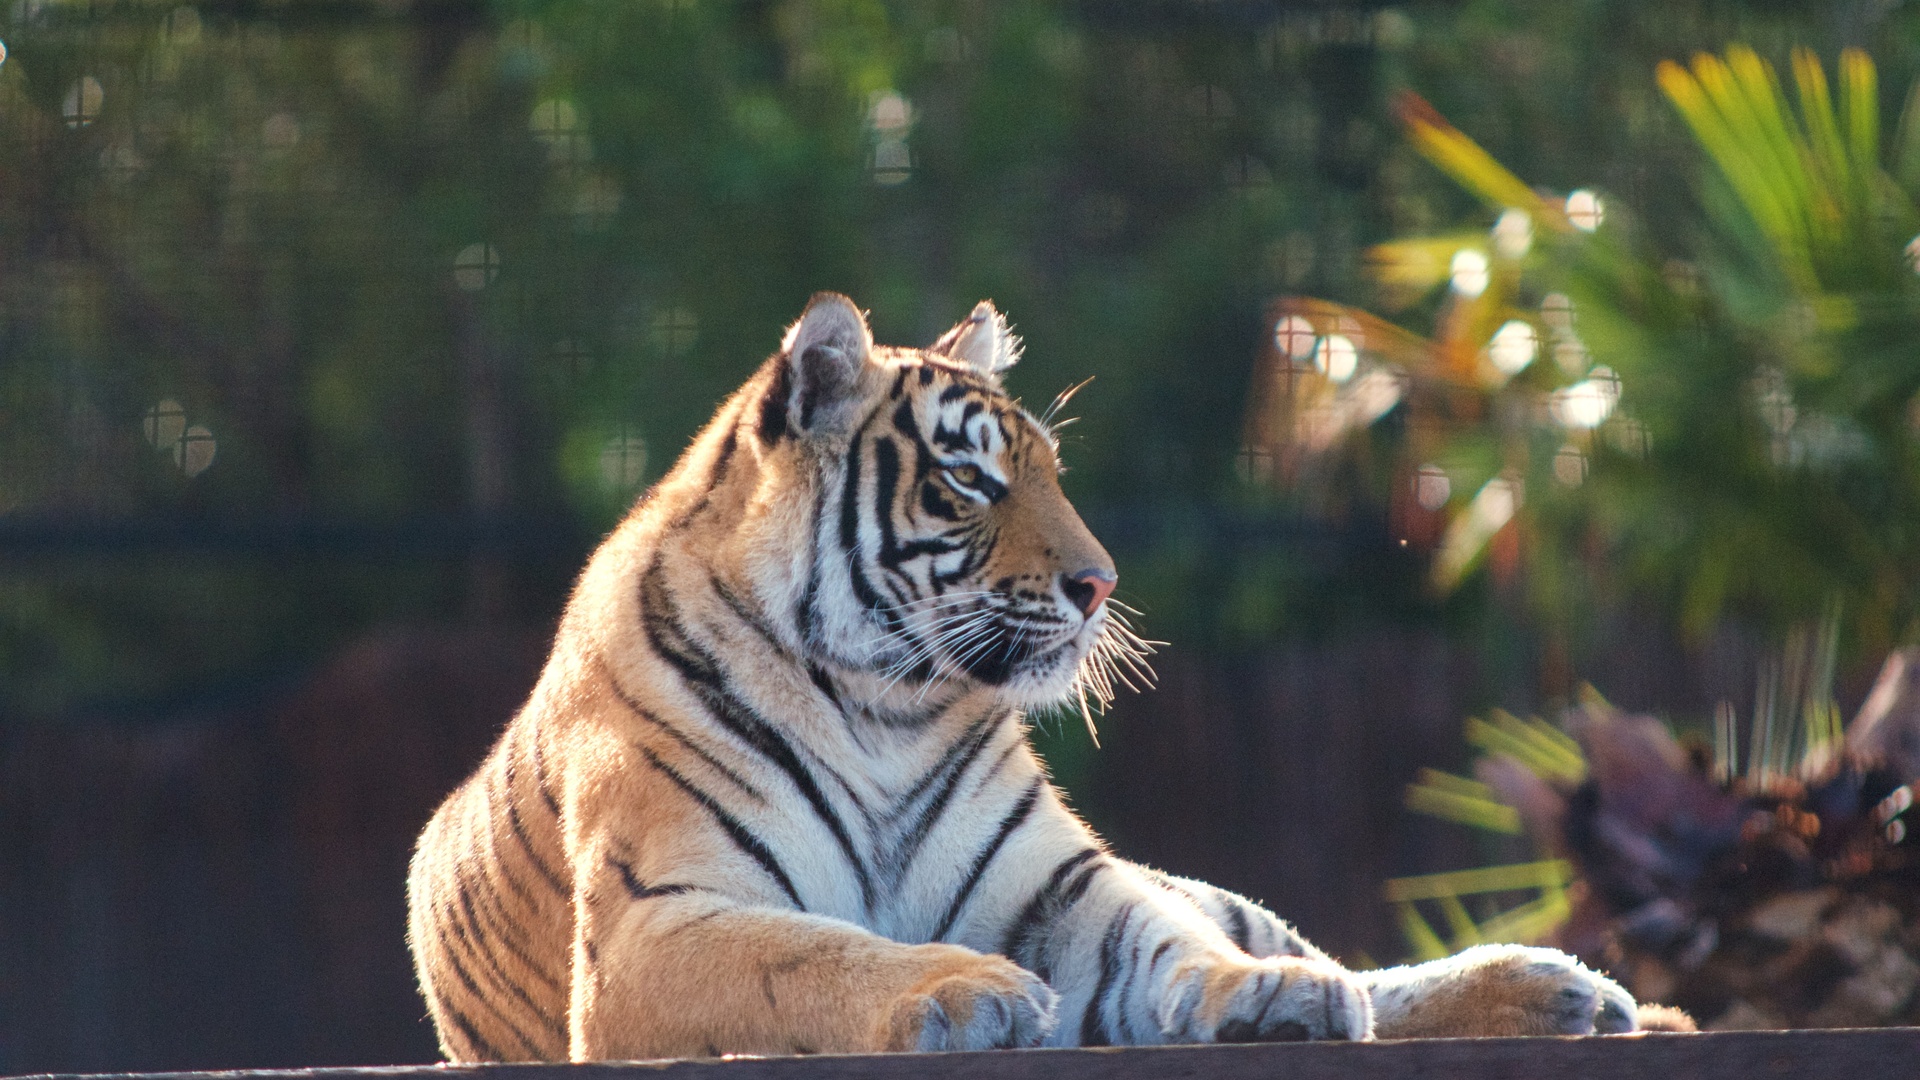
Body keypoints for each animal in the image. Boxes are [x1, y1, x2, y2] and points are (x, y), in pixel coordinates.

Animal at [401, 290, 1651, 1053]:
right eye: (971, 480)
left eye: (1051, 472)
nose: (1100, 584)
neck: (880, 706)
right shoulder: (656, 925)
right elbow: (813, 953)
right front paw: (961, 989)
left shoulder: (1065, 884)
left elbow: (1173, 943)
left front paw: (1272, 1001)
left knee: (1326, 954)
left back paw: (1557, 990)